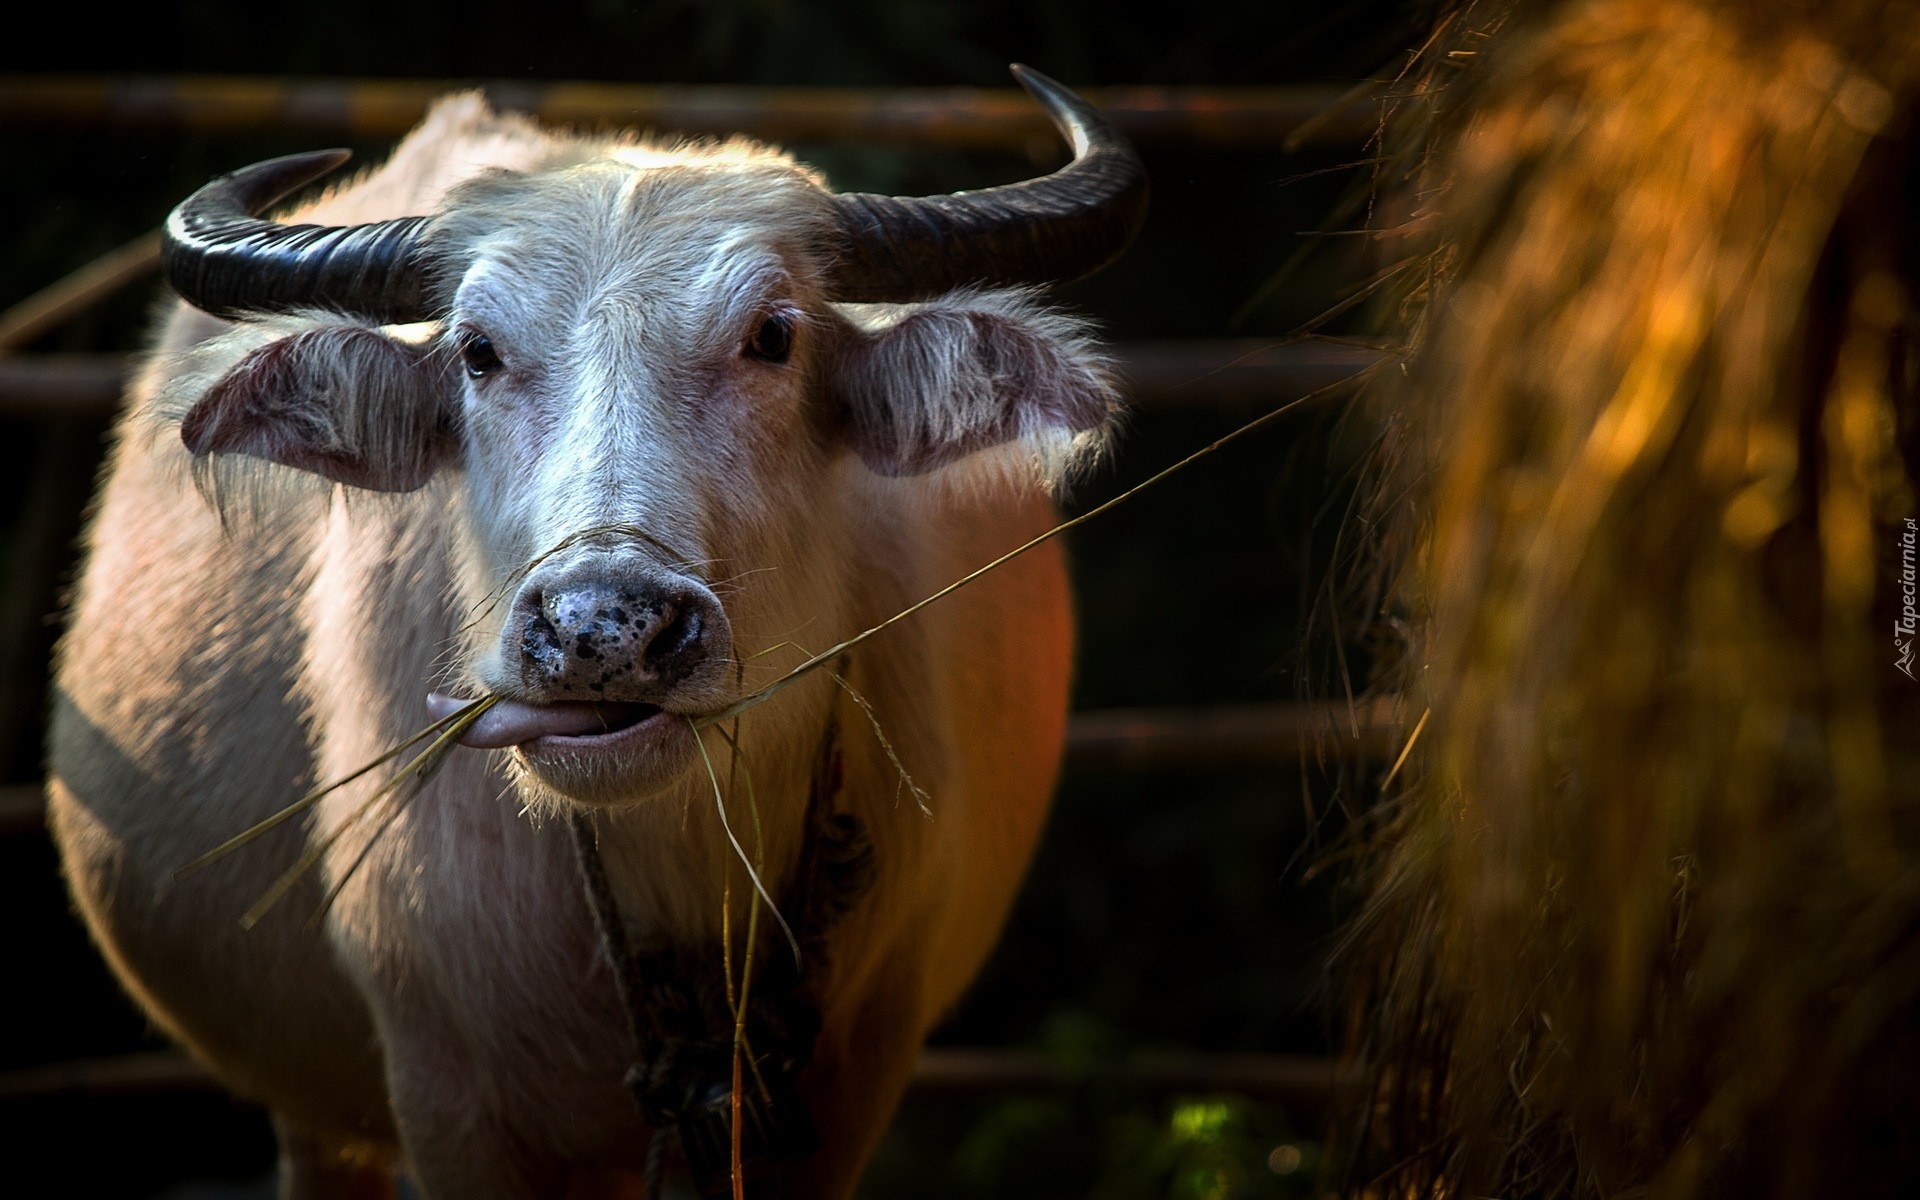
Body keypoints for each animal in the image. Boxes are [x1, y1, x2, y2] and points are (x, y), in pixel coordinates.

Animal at [48, 65, 1136, 1198]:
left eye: (773, 336)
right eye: (477, 353)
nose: (602, 629)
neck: (679, 868)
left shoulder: (850, 1090)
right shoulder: (452, 1105)